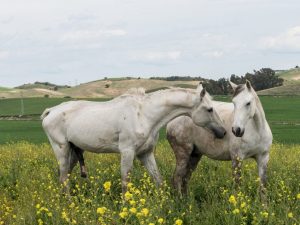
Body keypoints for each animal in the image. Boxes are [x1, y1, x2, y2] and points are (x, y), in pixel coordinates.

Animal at [41, 84, 225, 193]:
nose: (223, 132)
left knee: (64, 177)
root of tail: (50, 111)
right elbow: (125, 182)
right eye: (209, 109)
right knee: (63, 178)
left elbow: (158, 180)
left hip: (73, 151)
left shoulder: (146, 153)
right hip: (62, 149)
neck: (144, 114)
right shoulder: (127, 152)